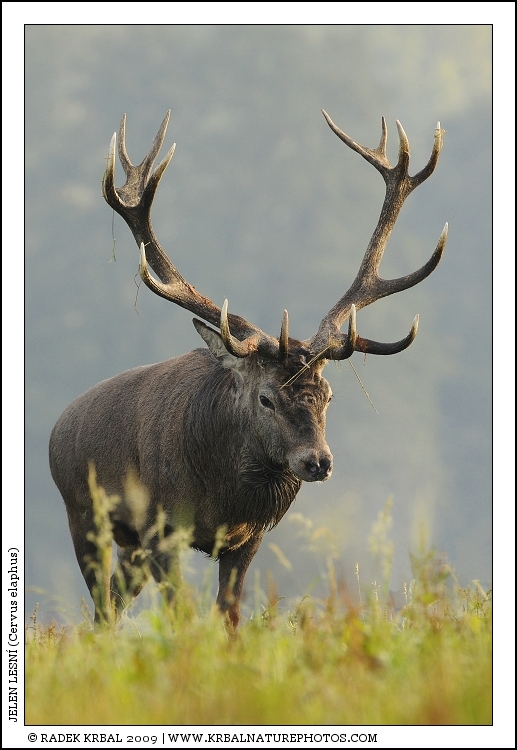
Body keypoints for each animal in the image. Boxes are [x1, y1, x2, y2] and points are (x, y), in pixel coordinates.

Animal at [49, 109, 447, 628]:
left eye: (328, 396)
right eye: (266, 397)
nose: (318, 461)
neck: (222, 498)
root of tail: (57, 428)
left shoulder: (248, 539)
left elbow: (229, 617)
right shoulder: (161, 529)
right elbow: (181, 616)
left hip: (126, 544)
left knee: (111, 606)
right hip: (83, 514)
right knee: (101, 607)